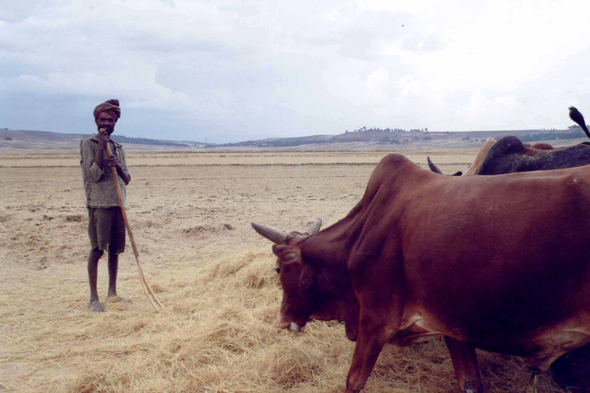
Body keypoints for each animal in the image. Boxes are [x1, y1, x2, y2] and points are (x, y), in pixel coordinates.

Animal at [256, 154, 590, 392]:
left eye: (278, 268)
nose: (282, 320)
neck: (361, 233)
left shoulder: (376, 319)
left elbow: (354, 381)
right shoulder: (453, 327)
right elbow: (470, 383)